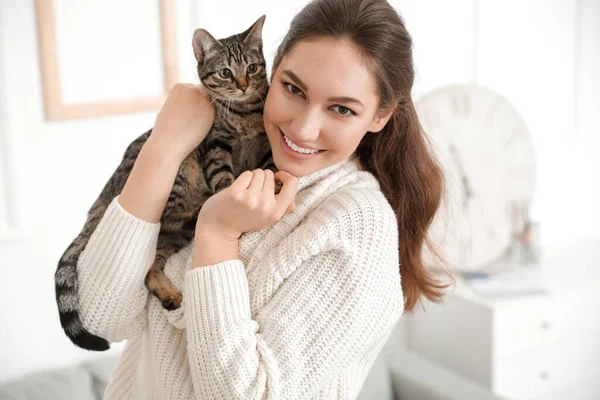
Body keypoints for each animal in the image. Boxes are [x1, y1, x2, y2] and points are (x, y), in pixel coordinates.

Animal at [54, 14, 276, 350]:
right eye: (226, 72)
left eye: (251, 68)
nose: (243, 85)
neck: (245, 114)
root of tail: (104, 195)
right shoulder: (214, 147)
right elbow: (223, 177)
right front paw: (232, 194)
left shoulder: (264, 146)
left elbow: (270, 166)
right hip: (181, 172)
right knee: (166, 215)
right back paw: (201, 210)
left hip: (169, 238)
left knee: (150, 268)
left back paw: (169, 292)